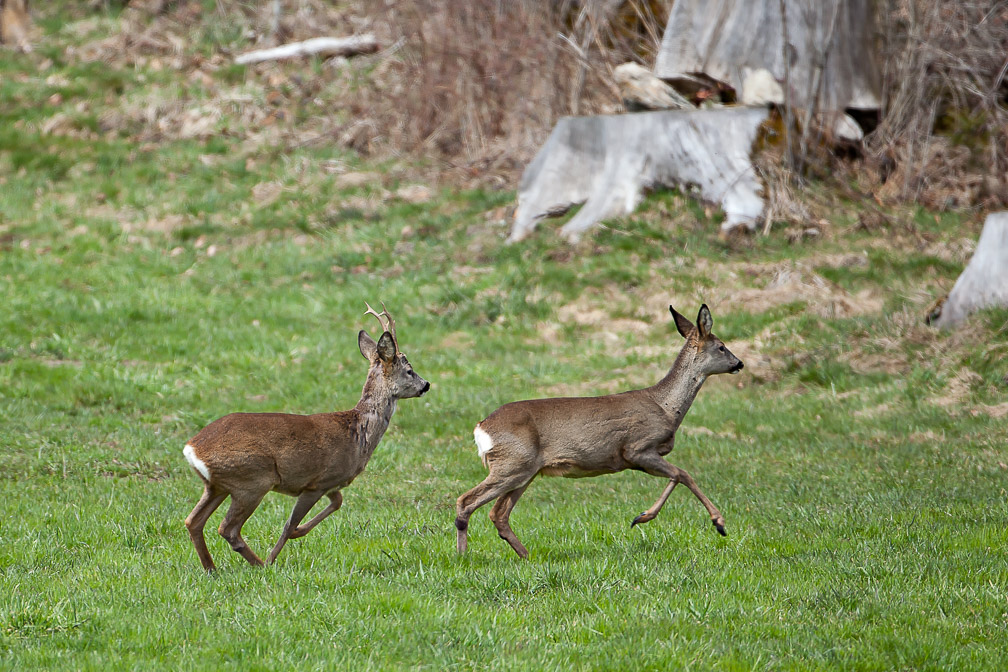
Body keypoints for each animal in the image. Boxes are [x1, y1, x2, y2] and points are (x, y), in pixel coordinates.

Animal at [183, 304, 427, 572]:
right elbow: (289, 524)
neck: (357, 433)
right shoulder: (316, 482)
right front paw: (275, 554)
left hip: (216, 485)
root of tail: (192, 448)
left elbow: (337, 502)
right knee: (228, 529)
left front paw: (299, 533)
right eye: (409, 370)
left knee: (193, 521)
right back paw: (261, 565)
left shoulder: (332, 484)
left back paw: (211, 569)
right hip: (252, 480)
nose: (426, 384)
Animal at [457, 304, 741, 556]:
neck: (666, 407)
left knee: (498, 514)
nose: (739, 363)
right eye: (722, 346)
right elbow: (683, 474)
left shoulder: (638, 458)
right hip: (514, 463)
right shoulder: (638, 448)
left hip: (526, 470)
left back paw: (525, 555)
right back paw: (464, 555)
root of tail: (481, 427)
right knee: (466, 501)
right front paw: (715, 523)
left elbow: (679, 475)